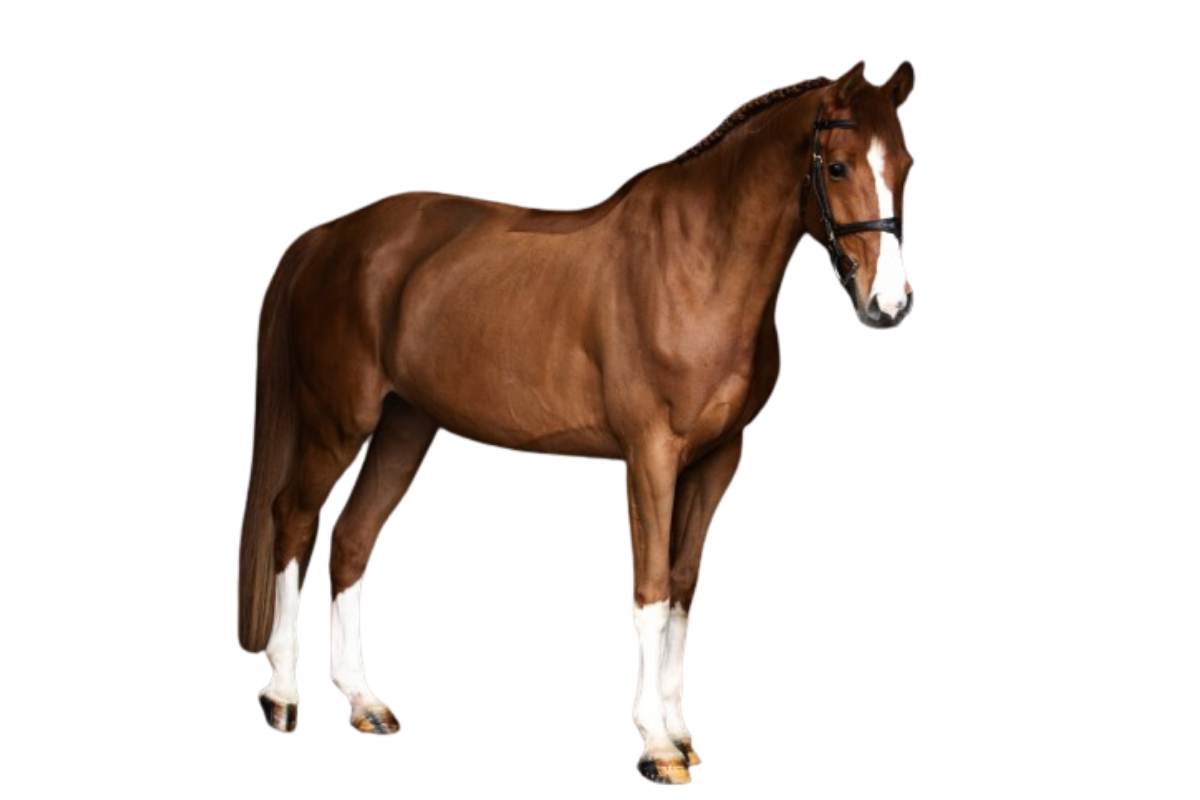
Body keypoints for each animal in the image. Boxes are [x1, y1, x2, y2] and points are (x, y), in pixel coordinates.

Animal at [235, 59, 915, 786]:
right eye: (837, 167)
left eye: (907, 163)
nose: (890, 304)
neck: (698, 264)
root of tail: (331, 234)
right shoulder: (651, 455)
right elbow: (650, 591)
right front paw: (657, 747)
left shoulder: (718, 460)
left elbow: (682, 588)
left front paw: (682, 733)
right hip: (339, 423)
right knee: (294, 521)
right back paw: (282, 698)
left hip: (403, 430)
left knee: (352, 539)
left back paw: (365, 704)